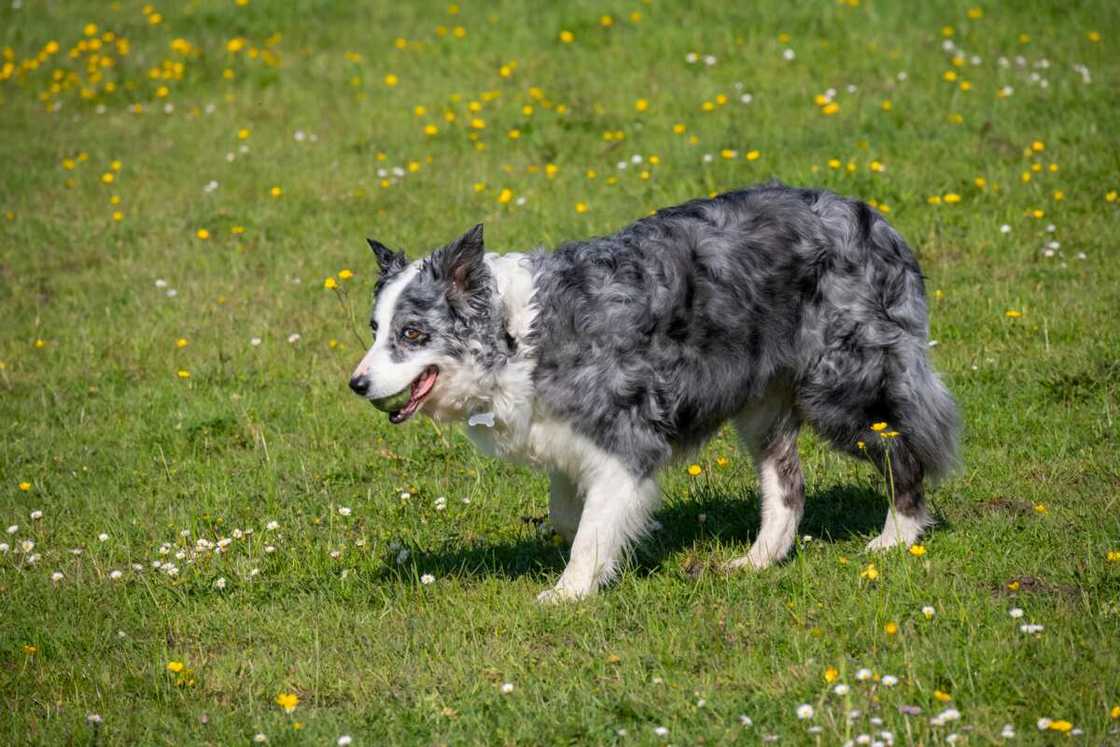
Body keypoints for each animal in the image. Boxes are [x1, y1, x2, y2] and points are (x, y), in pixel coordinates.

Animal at [344, 183, 958, 604]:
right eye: (374, 329)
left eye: (412, 334)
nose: (357, 384)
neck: (516, 333)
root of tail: (872, 220)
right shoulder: (563, 433)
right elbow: (569, 512)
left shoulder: (626, 436)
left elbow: (591, 529)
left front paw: (567, 594)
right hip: (762, 407)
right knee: (787, 485)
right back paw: (756, 561)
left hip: (841, 389)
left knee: (904, 452)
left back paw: (896, 539)